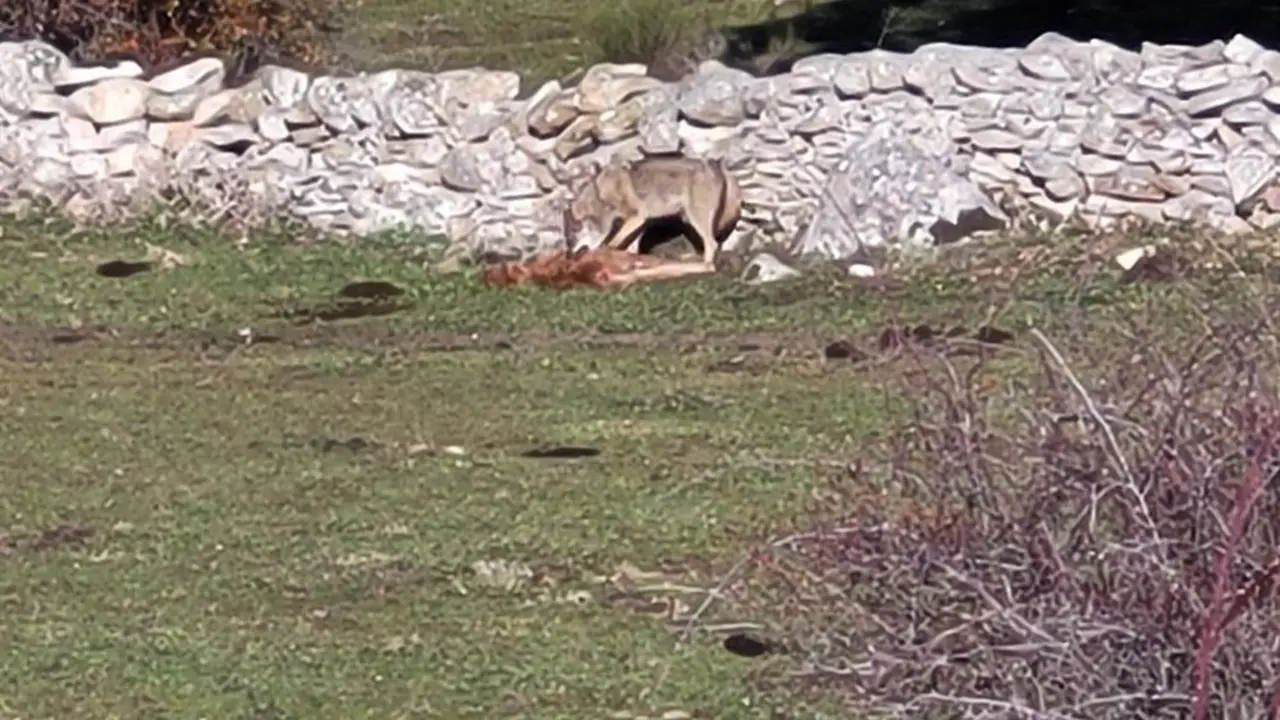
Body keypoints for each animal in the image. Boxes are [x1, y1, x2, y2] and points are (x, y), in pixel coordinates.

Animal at [562, 156, 743, 268]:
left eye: (571, 239)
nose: (568, 256)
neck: (601, 195)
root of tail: (718, 167)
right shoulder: (641, 222)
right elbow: (632, 248)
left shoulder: (637, 216)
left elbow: (613, 242)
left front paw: (606, 251)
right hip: (688, 220)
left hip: (696, 218)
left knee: (712, 243)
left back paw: (704, 267)